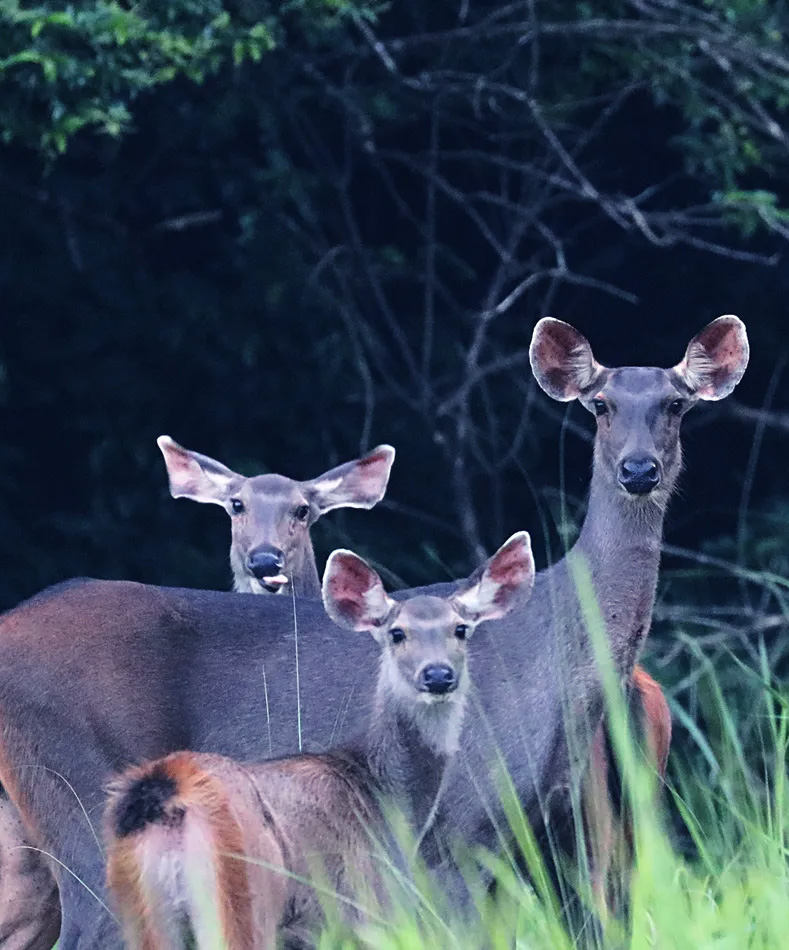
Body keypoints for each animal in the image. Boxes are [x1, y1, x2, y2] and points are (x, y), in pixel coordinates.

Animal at [106, 536, 536, 950]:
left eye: (460, 629)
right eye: (397, 633)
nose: (437, 675)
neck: (385, 798)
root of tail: (166, 793)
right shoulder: (362, 906)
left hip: (141, 908)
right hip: (244, 894)